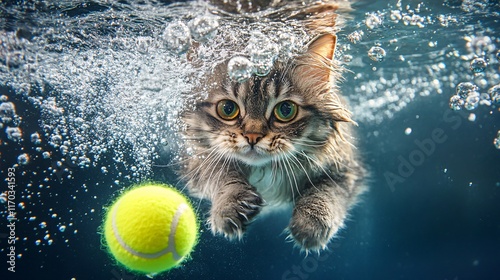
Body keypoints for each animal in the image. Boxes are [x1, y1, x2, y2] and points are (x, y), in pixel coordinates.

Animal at [178, 0, 366, 253]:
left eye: (285, 110)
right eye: (227, 109)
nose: (252, 136)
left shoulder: (346, 168)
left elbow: (326, 194)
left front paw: (311, 224)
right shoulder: (196, 159)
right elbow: (221, 176)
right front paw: (230, 207)